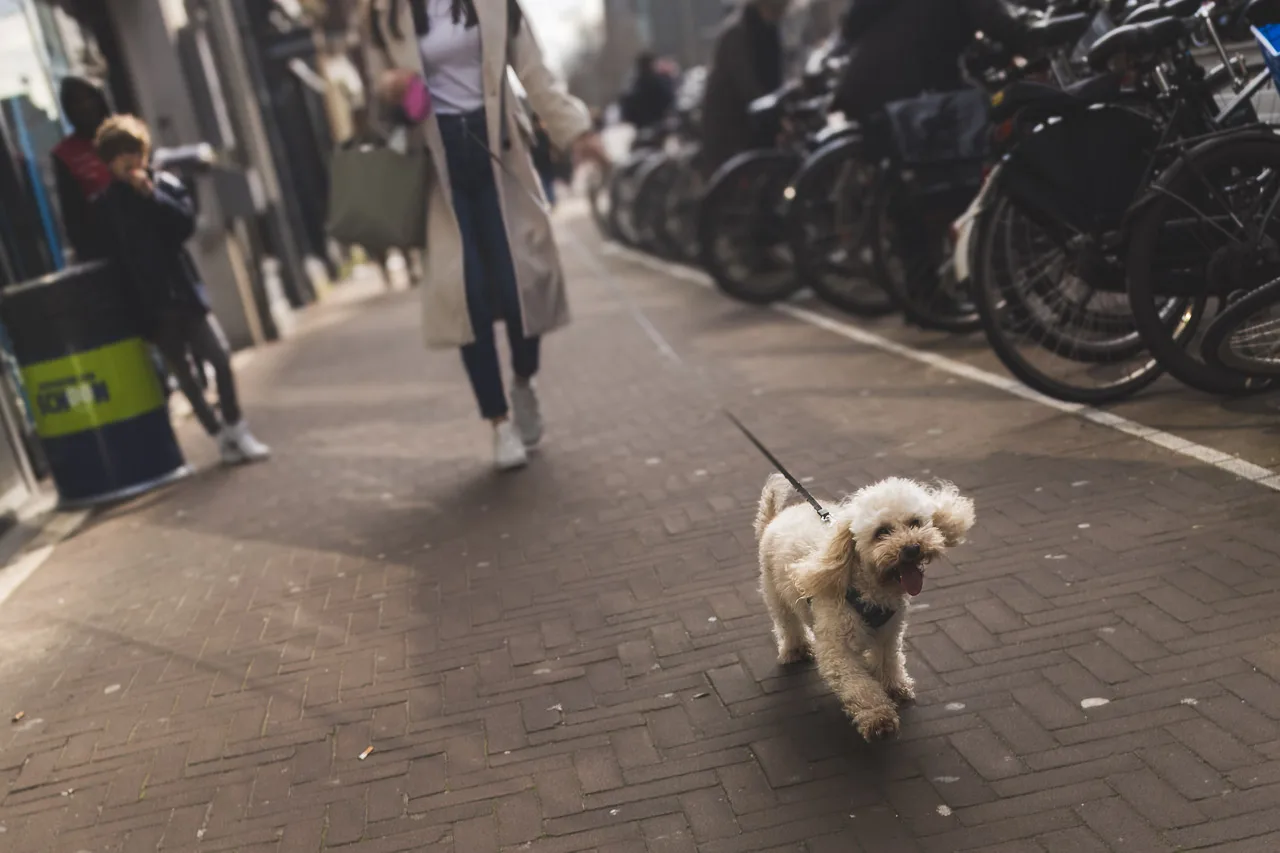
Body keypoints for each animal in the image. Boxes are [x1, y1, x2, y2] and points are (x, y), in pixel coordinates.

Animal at [752, 471, 972, 737]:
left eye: (915, 523)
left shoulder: (889, 634)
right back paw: (795, 649)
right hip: (775, 594)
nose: (912, 548)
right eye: (881, 532)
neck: (872, 590)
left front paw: (894, 687)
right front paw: (878, 716)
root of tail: (774, 518)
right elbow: (859, 685)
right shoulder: (838, 649)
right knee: (787, 624)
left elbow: (889, 662)